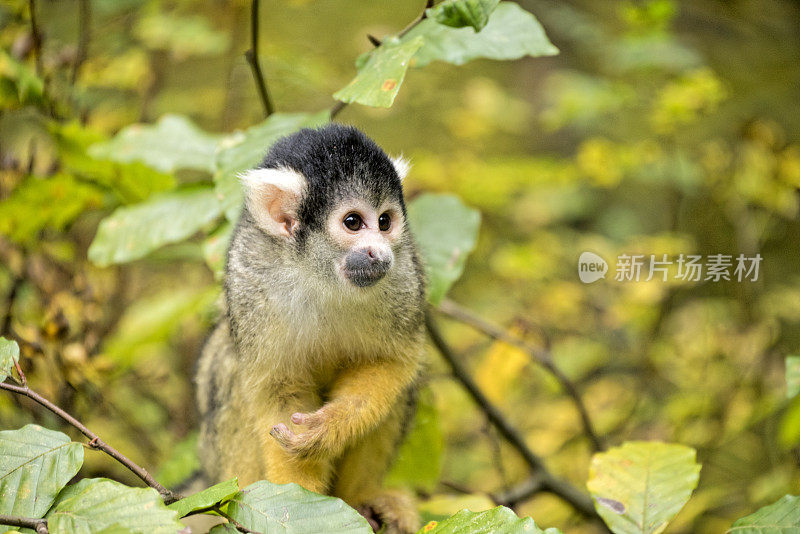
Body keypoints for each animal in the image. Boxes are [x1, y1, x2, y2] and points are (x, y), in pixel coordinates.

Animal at [195, 124, 424, 534]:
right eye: (353, 222)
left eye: (385, 222)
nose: (380, 253)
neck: (321, 274)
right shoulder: (251, 279)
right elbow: (278, 389)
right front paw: (297, 505)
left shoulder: (404, 275)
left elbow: (392, 363)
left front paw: (327, 429)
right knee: (227, 369)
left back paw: (364, 498)